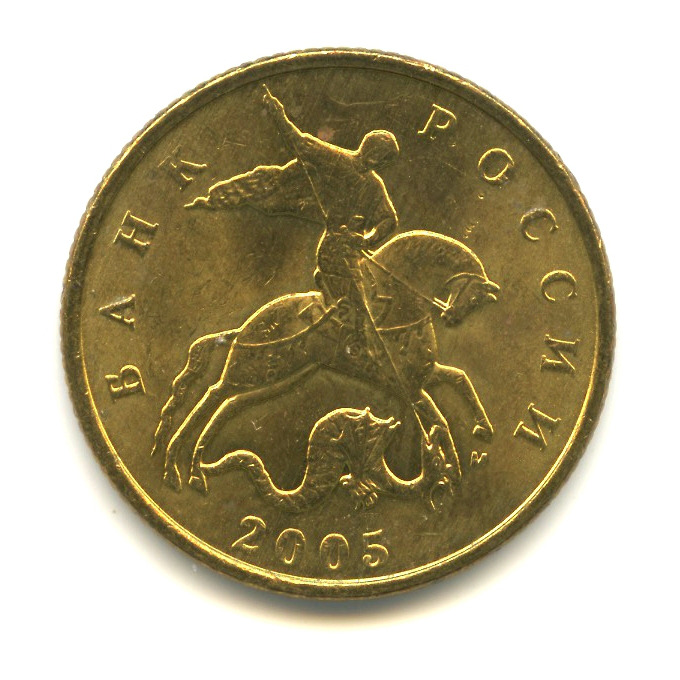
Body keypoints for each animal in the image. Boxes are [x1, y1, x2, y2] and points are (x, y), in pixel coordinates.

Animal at [152, 229, 500, 495]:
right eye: (473, 296)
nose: (452, 318)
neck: (400, 305)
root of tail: (245, 327)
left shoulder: (421, 378)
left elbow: (460, 380)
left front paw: (479, 432)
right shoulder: (410, 386)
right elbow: (440, 417)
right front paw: (451, 469)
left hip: (278, 378)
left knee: (229, 406)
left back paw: (194, 469)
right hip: (251, 371)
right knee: (212, 395)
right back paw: (175, 466)